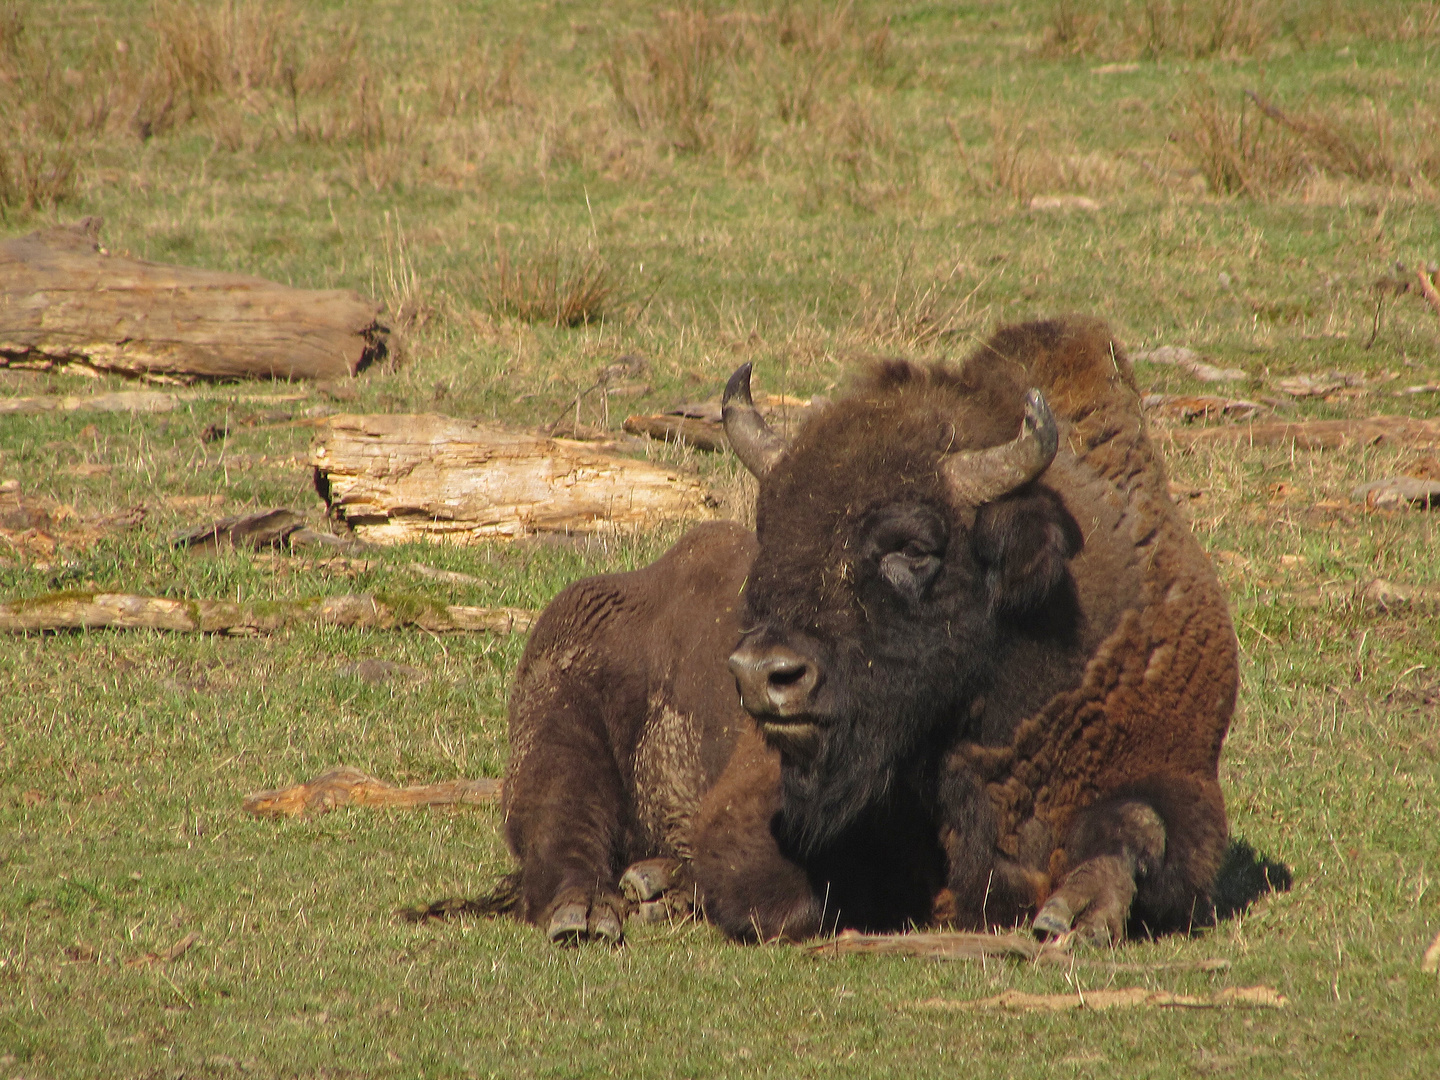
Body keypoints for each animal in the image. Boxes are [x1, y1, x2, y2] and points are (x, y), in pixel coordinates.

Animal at [498, 316, 1238, 944]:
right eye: (772, 529)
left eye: (913, 547)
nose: (764, 675)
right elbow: (791, 899)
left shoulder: (1181, 776)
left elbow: (1141, 828)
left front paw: (1075, 913)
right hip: (559, 732)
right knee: (565, 831)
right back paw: (592, 911)